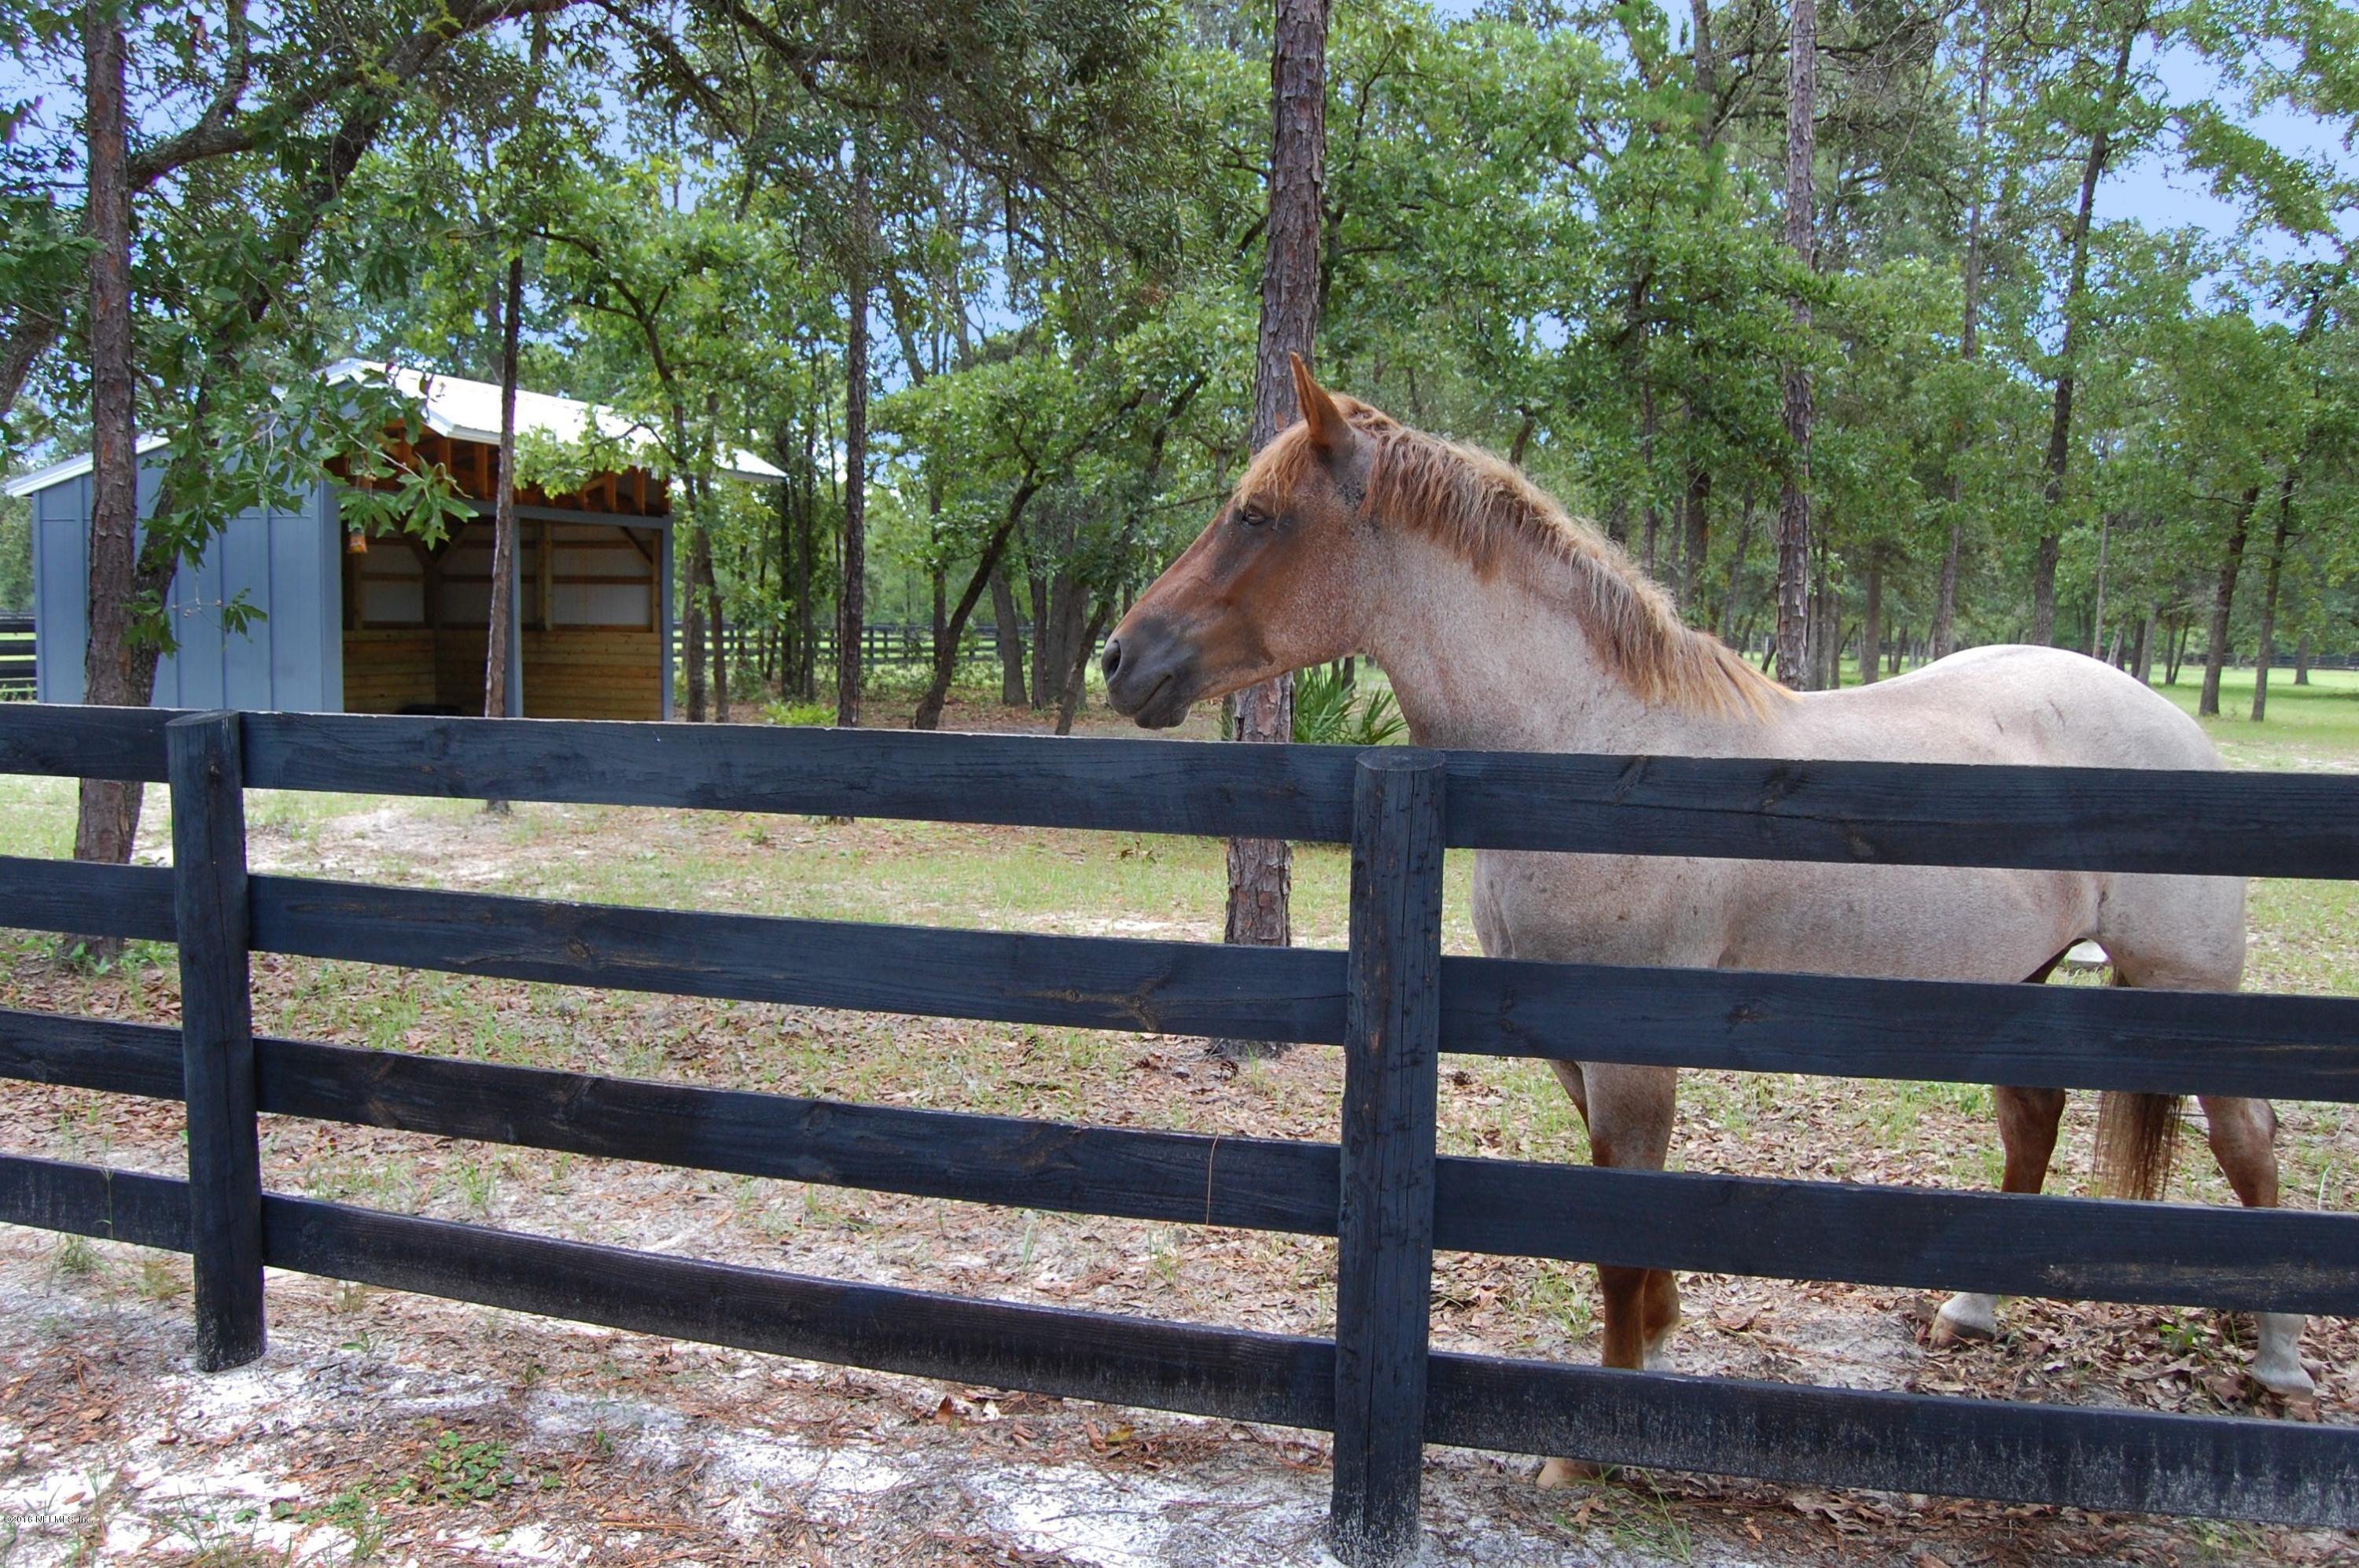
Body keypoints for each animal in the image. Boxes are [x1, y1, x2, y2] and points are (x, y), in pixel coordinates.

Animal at [1098, 355, 2314, 1484]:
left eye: (1257, 516)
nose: (1121, 657)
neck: (1595, 751)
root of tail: (2171, 723)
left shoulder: (1630, 1049)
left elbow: (1620, 1234)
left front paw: (1588, 1446)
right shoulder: (1573, 1043)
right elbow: (1630, 1217)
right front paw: (1661, 1338)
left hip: (2187, 987)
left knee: (2249, 1143)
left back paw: (2281, 1359)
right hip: (2019, 982)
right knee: (2035, 1122)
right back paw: (1973, 1309)